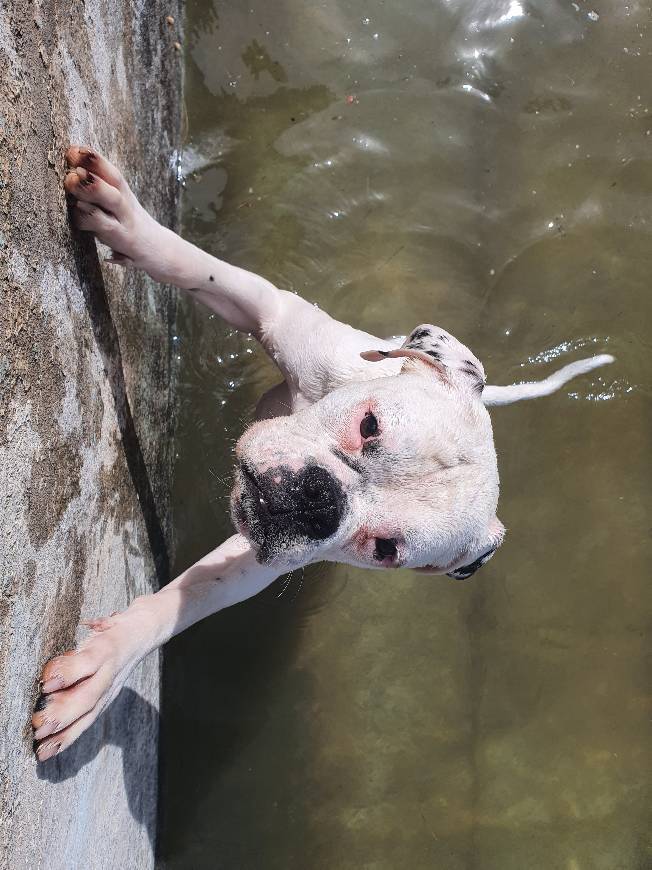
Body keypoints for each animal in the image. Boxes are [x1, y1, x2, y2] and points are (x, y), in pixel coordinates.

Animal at [31, 150, 612, 764]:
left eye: (384, 549)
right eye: (369, 425)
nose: (316, 502)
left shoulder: (258, 558)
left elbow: (191, 599)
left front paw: (104, 669)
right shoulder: (277, 314)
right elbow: (200, 268)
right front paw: (126, 222)